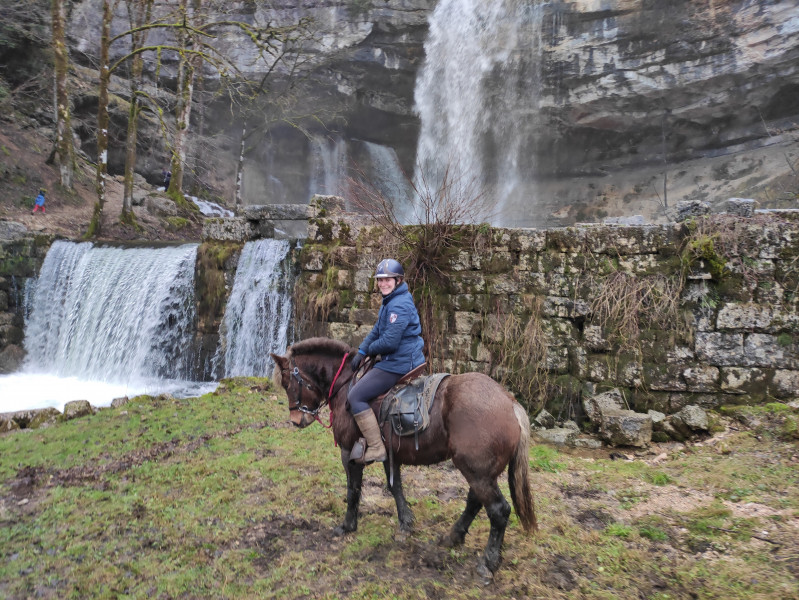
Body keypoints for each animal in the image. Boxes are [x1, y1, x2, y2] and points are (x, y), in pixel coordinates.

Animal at [268, 338, 536, 580]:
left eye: (288, 383)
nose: (296, 421)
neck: (346, 384)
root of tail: (510, 403)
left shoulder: (349, 452)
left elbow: (353, 491)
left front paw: (347, 526)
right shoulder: (390, 455)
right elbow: (394, 487)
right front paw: (406, 524)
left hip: (477, 472)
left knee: (498, 511)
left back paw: (488, 564)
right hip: (480, 473)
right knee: (474, 502)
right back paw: (453, 537)